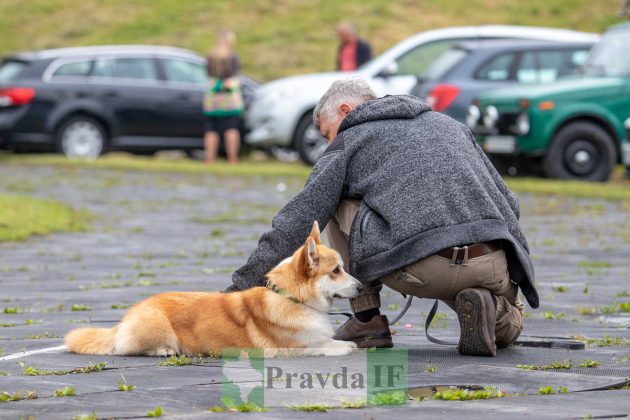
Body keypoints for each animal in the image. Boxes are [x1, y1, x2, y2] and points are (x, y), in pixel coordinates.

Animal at [66, 221, 362, 356]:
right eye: (336, 270)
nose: (361, 287)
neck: (291, 298)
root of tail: (124, 320)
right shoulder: (292, 348)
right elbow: (332, 346)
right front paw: (347, 347)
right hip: (155, 327)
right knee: (125, 348)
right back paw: (164, 350)